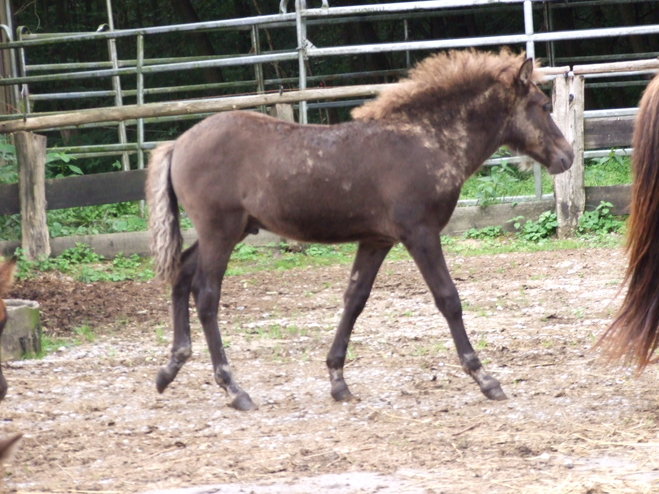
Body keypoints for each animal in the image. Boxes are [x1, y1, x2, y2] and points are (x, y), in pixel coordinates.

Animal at [147, 48, 576, 410]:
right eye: (543, 106)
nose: (567, 156)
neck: (426, 140)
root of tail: (178, 143)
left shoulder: (376, 240)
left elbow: (354, 299)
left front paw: (338, 381)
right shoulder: (420, 233)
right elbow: (448, 298)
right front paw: (485, 378)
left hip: (227, 232)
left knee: (182, 274)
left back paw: (170, 369)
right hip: (220, 231)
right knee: (206, 295)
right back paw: (234, 389)